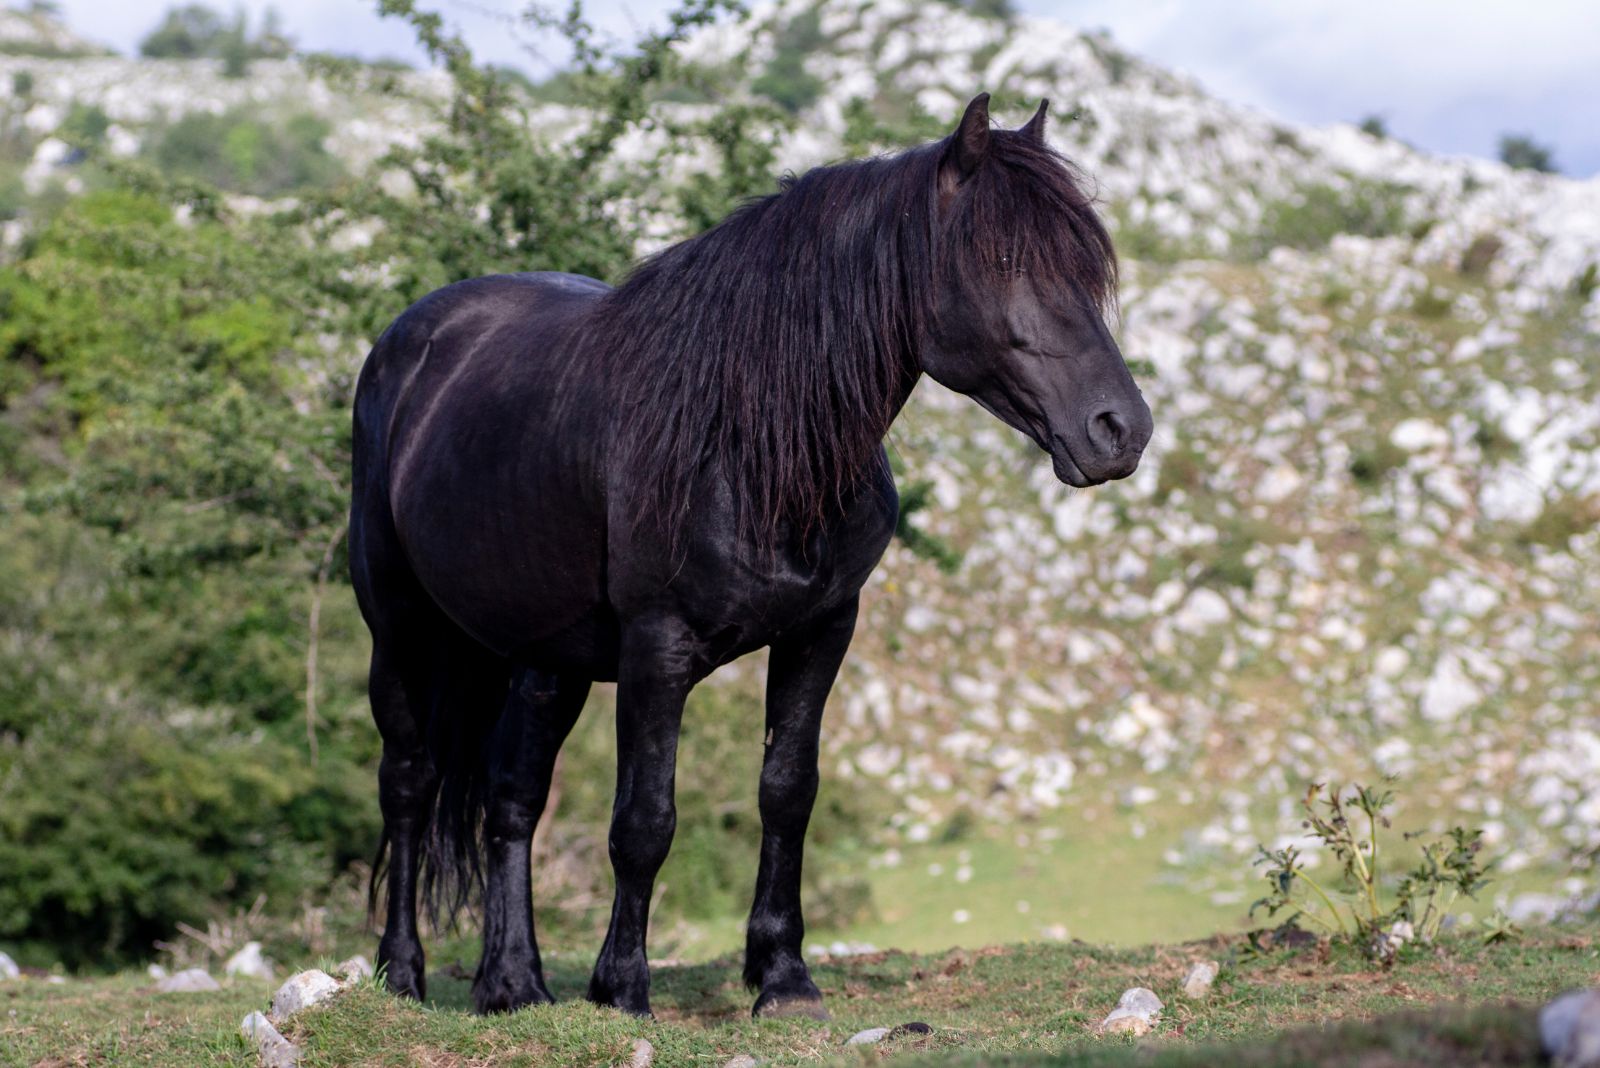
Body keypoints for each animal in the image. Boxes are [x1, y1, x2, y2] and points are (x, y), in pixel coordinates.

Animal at [350, 93, 1152, 1016]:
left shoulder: (821, 632)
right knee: (409, 784)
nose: (1120, 430)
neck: (745, 441)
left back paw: (513, 982)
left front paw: (782, 975)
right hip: (401, 632)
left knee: (513, 796)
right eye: (1002, 259)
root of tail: (415, 338)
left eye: (1087, 269)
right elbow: (645, 820)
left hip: (542, 657)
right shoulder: (657, 649)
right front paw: (623, 987)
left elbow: (787, 793)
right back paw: (403, 972)